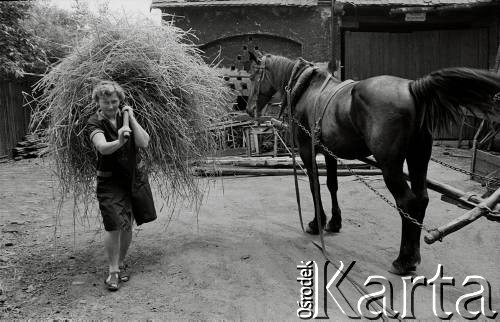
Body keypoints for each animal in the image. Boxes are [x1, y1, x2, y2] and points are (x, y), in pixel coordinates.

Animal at [246, 49, 500, 276]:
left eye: (253, 76)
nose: (248, 109)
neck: (307, 89)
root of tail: (412, 89)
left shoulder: (307, 149)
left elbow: (314, 186)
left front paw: (316, 223)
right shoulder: (329, 152)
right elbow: (331, 185)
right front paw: (334, 222)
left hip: (390, 165)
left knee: (407, 203)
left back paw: (402, 261)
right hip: (418, 158)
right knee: (421, 200)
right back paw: (413, 256)